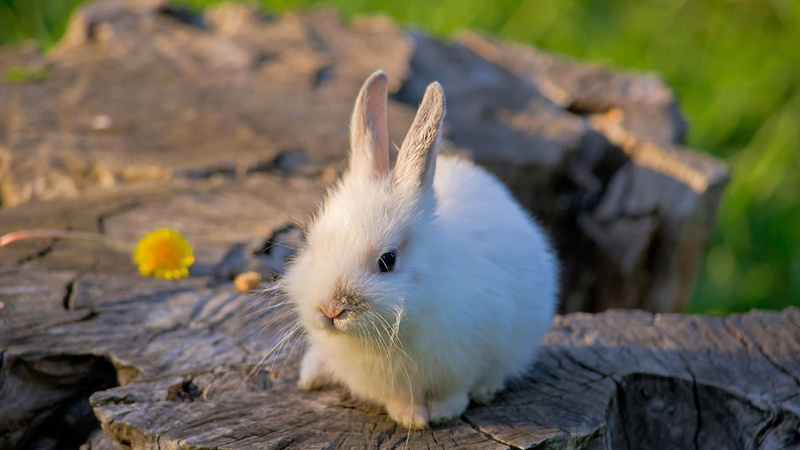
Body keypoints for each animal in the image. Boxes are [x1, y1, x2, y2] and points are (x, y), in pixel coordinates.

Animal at [280, 70, 558, 429]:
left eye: (388, 260)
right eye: (312, 244)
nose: (330, 310)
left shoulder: (467, 360)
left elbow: (455, 391)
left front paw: (441, 413)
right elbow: (401, 400)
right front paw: (410, 417)